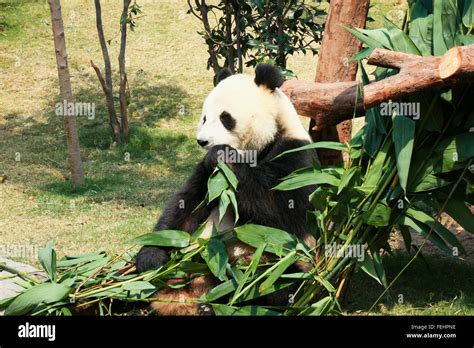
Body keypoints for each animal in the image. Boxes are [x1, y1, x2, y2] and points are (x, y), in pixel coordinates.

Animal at [135, 63, 316, 316]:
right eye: (204, 117)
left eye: (225, 118)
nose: (202, 141)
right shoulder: (207, 174)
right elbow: (185, 206)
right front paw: (151, 256)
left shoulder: (295, 158)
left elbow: (285, 217)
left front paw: (222, 154)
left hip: (273, 265)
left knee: (272, 281)